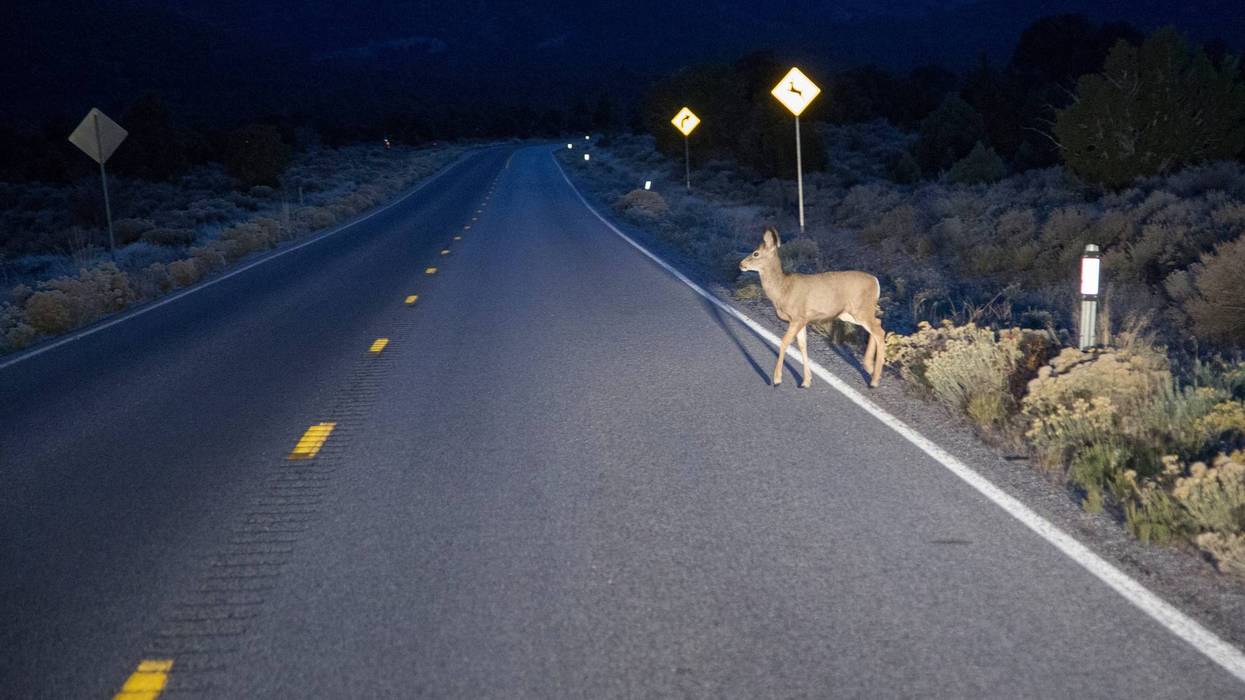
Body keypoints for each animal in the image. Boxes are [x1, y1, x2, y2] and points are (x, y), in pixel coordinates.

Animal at [739, 227, 885, 388]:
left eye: (756, 253)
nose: (741, 264)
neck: (783, 289)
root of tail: (876, 281)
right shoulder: (803, 320)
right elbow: (803, 345)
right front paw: (806, 381)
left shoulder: (797, 317)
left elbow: (784, 342)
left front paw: (777, 379)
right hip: (849, 313)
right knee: (878, 324)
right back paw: (869, 367)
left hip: (861, 309)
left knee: (879, 331)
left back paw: (874, 380)